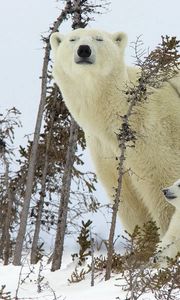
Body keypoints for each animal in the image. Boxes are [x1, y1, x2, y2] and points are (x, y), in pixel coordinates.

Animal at [50, 28, 180, 239]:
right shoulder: (105, 150)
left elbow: (162, 186)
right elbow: (130, 204)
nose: (84, 50)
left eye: (99, 38)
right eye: (73, 39)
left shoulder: (154, 132)